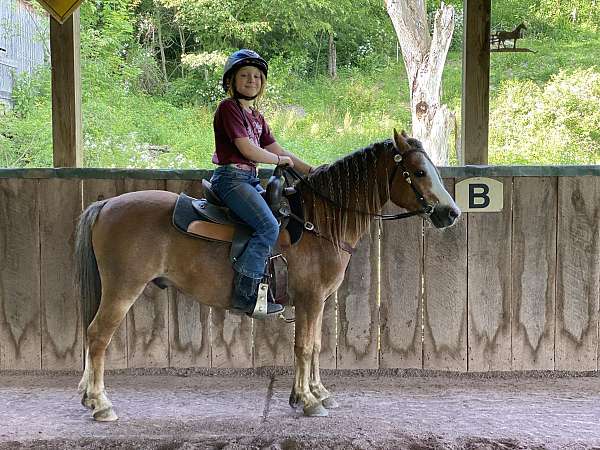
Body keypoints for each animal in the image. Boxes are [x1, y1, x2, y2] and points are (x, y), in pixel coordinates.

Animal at [74, 128, 460, 420]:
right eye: (419, 172)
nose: (450, 212)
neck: (318, 222)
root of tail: (105, 205)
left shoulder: (317, 302)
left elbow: (315, 346)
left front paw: (317, 392)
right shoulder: (310, 299)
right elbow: (303, 347)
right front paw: (307, 400)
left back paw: (89, 397)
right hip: (123, 289)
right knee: (97, 336)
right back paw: (101, 404)